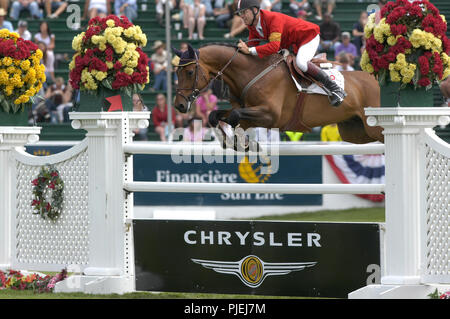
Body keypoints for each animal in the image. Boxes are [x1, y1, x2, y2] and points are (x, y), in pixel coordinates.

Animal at [173, 43, 384, 148]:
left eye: (189, 73)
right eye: (176, 72)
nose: (179, 106)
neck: (251, 72)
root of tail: (376, 81)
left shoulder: (271, 116)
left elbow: (234, 117)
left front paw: (243, 143)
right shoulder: (246, 109)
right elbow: (215, 116)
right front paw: (230, 142)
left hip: (373, 127)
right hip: (356, 132)